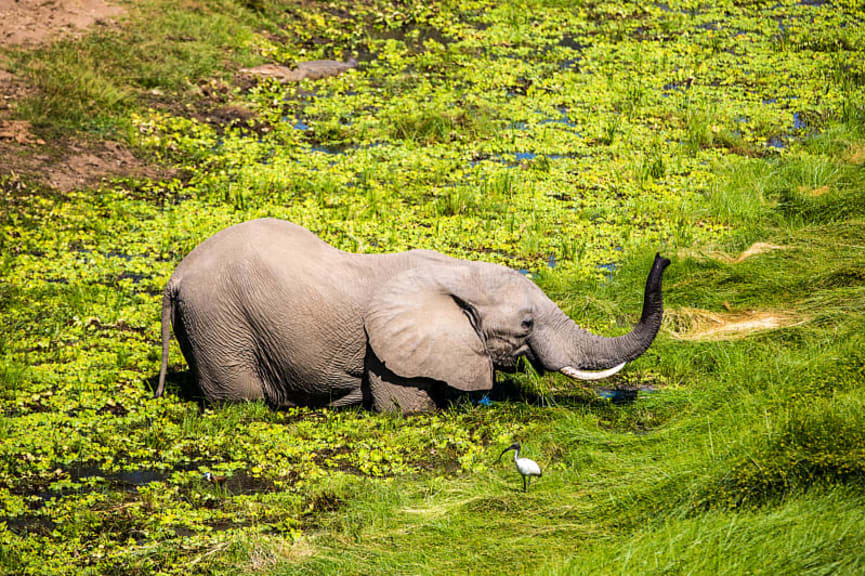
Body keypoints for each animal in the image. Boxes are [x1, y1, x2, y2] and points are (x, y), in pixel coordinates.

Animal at [154, 218, 668, 412]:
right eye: (526, 324)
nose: (662, 257)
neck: (456, 272)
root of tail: (176, 276)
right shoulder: (384, 356)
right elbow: (408, 411)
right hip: (220, 324)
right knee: (240, 400)